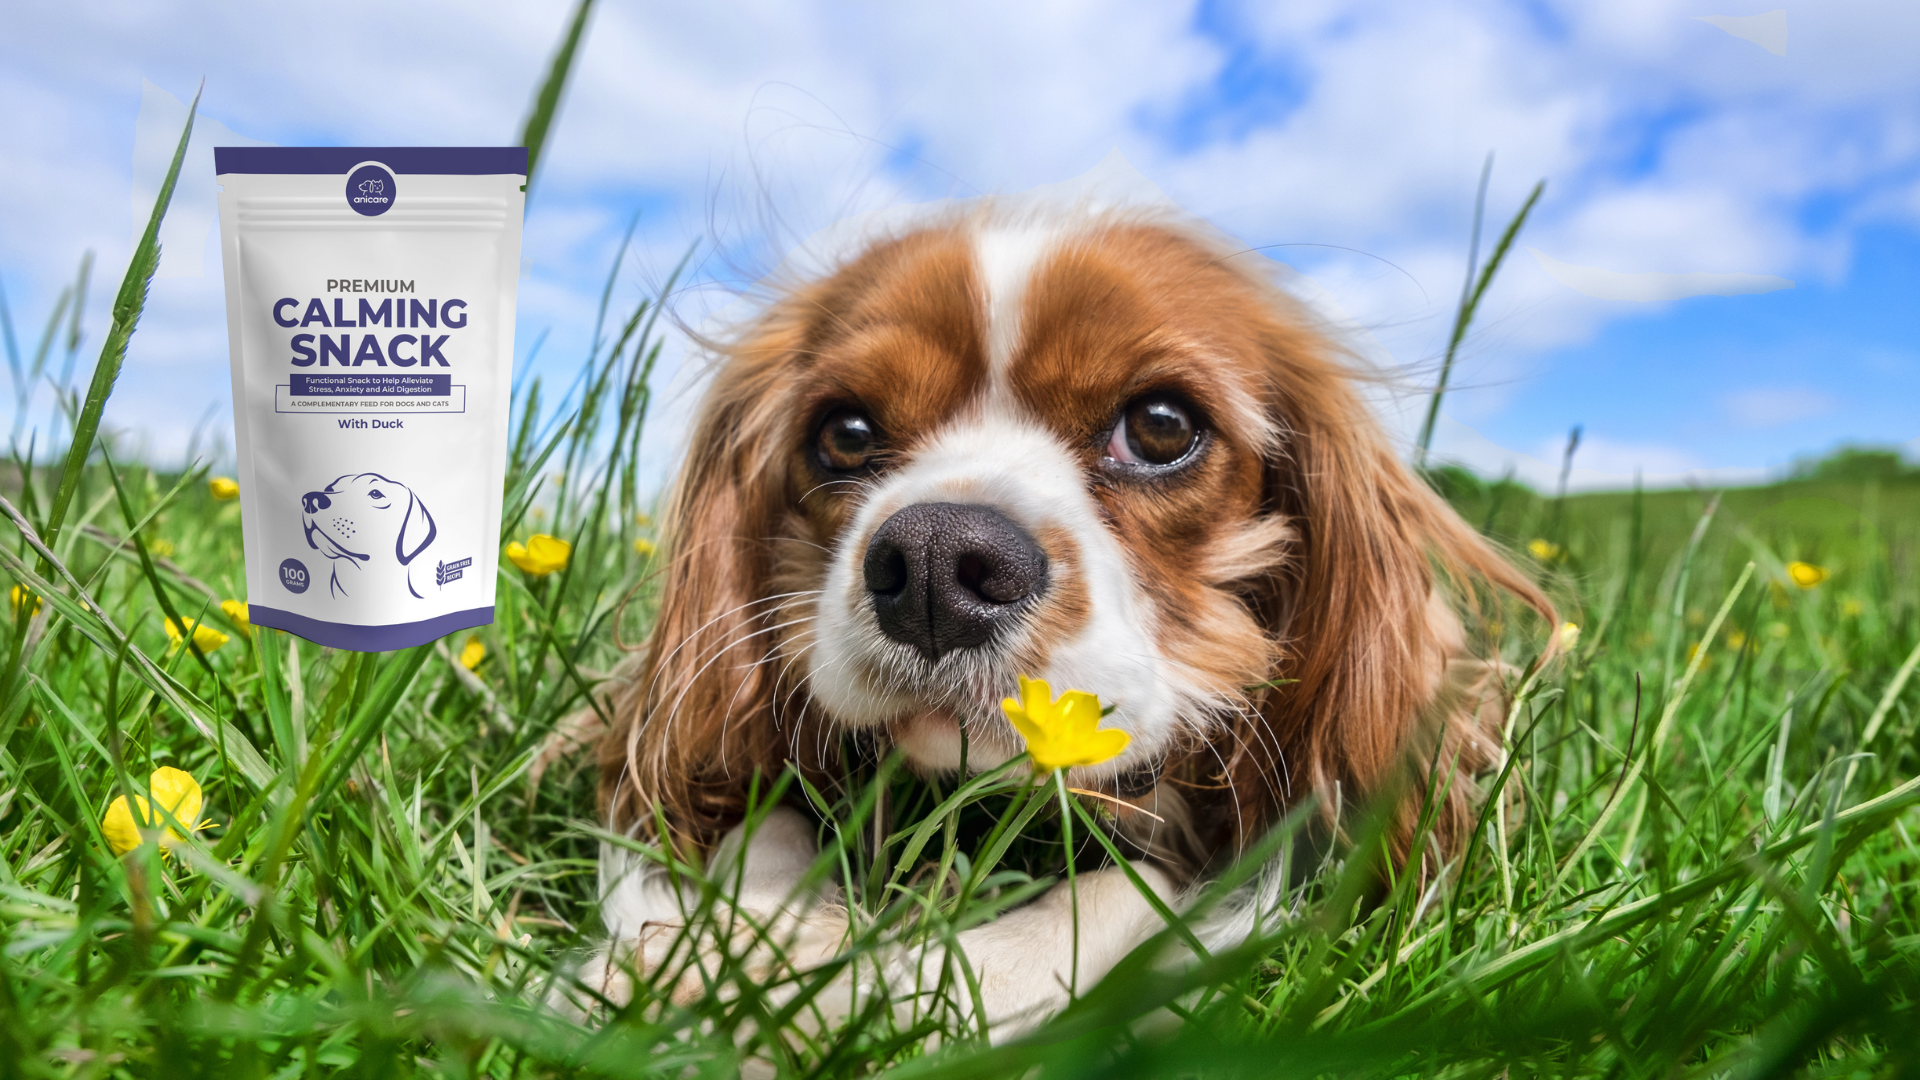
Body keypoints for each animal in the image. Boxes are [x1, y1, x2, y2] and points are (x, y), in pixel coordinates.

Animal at [572, 201, 1559, 1037]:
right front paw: (720, 946)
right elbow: (760, 824)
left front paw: (843, 985)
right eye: (844, 433)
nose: (935, 563)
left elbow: (1123, 898)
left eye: (1161, 425)